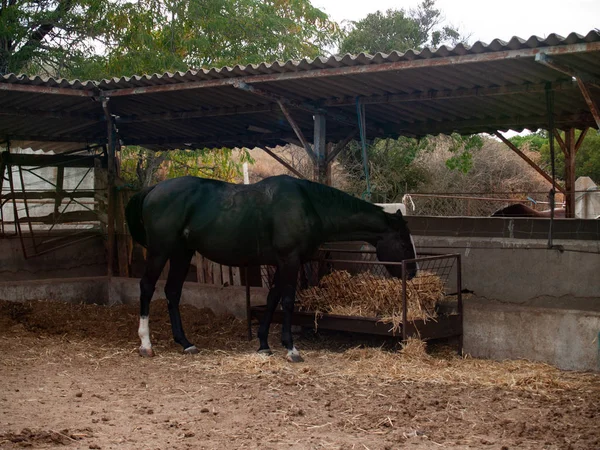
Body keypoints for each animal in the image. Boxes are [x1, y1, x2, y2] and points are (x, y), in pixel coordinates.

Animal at [125, 175, 418, 362]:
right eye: (404, 243)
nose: (412, 272)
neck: (309, 205)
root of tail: (153, 189)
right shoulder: (290, 260)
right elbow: (287, 301)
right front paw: (291, 349)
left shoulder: (283, 262)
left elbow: (272, 299)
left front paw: (264, 344)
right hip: (161, 251)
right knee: (147, 287)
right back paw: (146, 344)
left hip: (182, 253)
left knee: (172, 292)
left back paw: (185, 343)